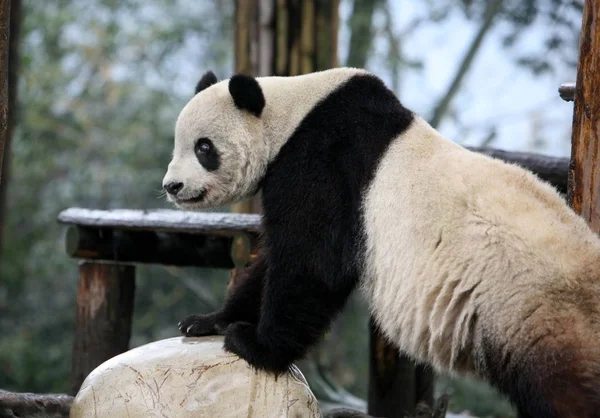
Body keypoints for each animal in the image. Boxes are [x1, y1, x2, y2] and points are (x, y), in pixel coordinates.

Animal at [161, 67, 600, 416]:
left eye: (204, 148)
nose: (172, 186)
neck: (291, 114)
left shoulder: (321, 163)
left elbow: (311, 262)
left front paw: (254, 345)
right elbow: (273, 261)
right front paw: (209, 320)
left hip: (535, 317)